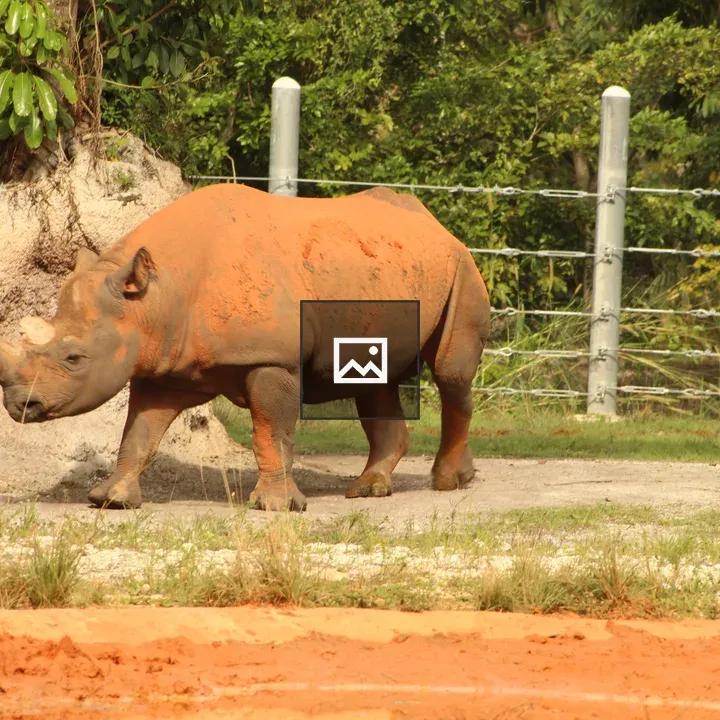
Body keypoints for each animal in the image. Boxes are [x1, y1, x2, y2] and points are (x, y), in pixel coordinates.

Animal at [0, 184, 490, 511]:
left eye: (74, 358)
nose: (20, 404)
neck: (153, 300)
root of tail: (438, 224)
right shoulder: (160, 362)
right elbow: (138, 432)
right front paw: (112, 500)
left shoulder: (271, 359)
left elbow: (270, 431)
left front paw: (274, 507)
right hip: (385, 270)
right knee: (375, 377)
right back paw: (373, 489)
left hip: (463, 267)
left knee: (450, 373)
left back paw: (447, 482)